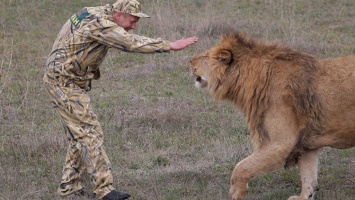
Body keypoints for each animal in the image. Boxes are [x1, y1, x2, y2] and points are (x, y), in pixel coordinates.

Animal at [191, 31, 355, 200]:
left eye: (204, 55)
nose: (190, 61)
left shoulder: (282, 143)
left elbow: (242, 166)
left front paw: (237, 192)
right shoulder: (306, 144)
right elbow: (308, 176)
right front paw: (303, 196)